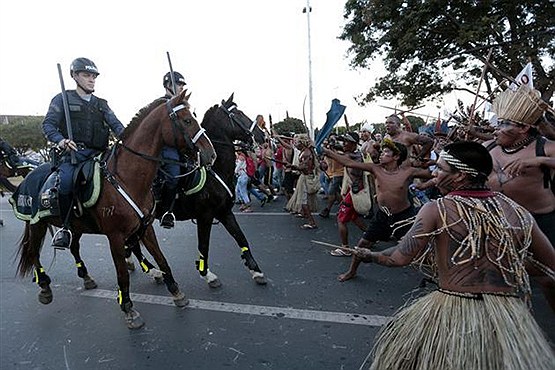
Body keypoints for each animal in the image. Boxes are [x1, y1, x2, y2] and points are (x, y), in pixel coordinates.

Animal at [14, 90, 215, 330]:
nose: (210, 154)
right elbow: (122, 274)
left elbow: (162, 258)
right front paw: (128, 309)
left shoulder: (146, 228)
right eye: (187, 121)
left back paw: (86, 277)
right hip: (36, 224)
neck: (126, 178)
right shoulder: (115, 236)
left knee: (73, 246)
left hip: (75, 225)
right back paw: (44, 287)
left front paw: (176, 292)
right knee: (33, 252)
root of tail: (29, 175)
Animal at [129, 94, 272, 288]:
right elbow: (204, 245)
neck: (214, 170)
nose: (262, 135)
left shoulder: (224, 212)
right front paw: (207, 274)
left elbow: (241, 238)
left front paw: (255, 270)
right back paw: (152, 271)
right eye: (239, 114)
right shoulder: (205, 215)